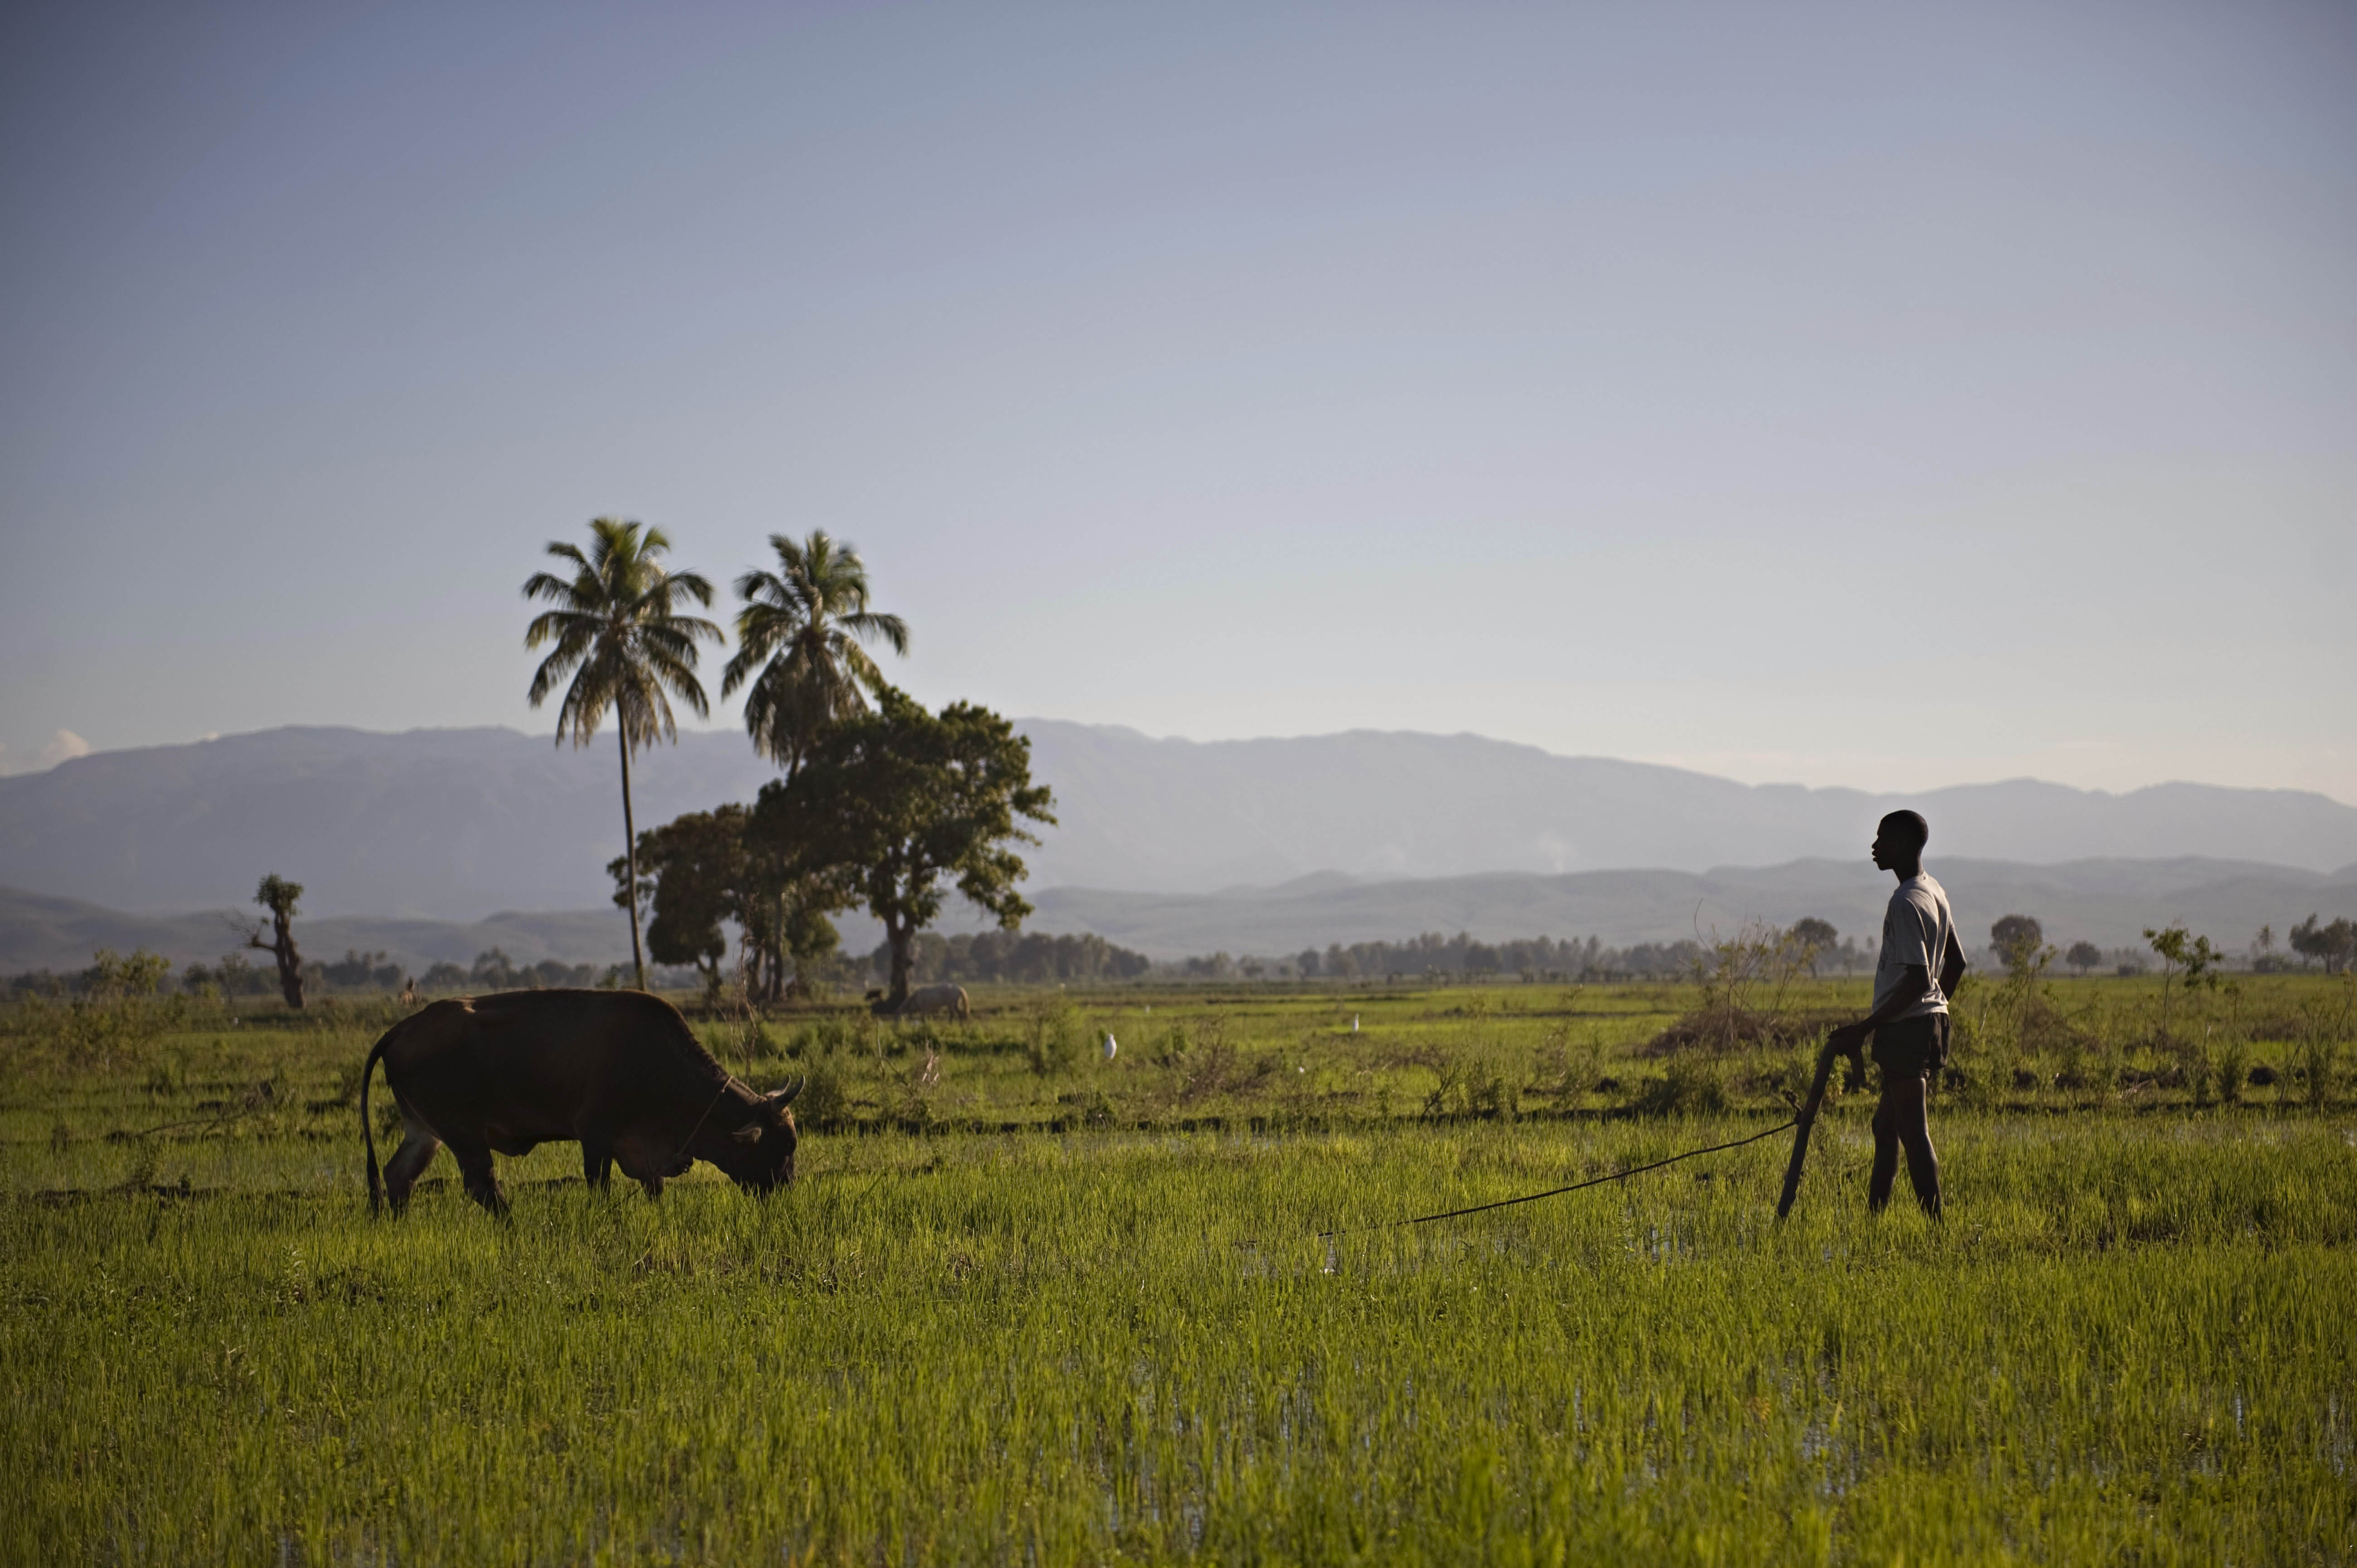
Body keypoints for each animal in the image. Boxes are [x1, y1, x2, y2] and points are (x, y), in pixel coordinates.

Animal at [356, 985, 801, 1216]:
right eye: (784, 1146)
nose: (786, 1190)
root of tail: (402, 1028)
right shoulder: (596, 1138)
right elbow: (599, 1187)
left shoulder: (640, 1150)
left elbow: (655, 1187)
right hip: (462, 1133)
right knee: (483, 1185)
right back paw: (512, 1224)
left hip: (424, 1133)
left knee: (399, 1177)